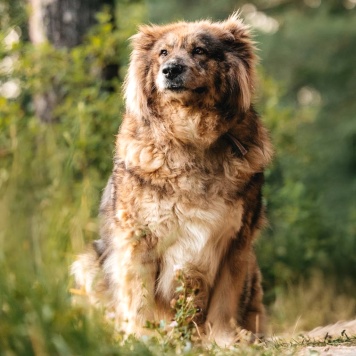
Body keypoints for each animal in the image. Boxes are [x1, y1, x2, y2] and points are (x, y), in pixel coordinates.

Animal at [71, 13, 272, 348]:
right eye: (163, 53)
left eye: (200, 50)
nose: (170, 70)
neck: (190, 136)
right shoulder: (137, 240)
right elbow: (138, 298)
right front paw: (141, 338)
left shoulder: (236, 243)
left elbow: (225, 299)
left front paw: (225, 340)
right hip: (88, 262)